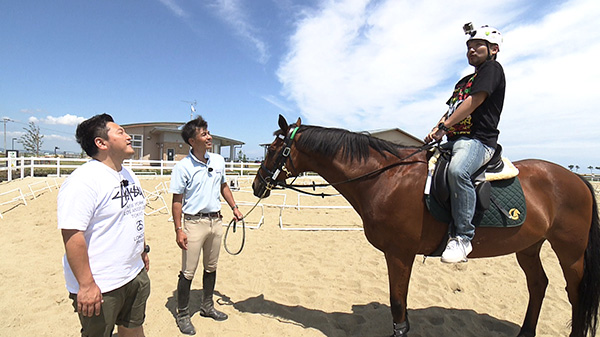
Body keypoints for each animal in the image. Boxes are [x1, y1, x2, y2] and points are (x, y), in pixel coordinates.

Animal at [252, 114, 600, 334]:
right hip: (528, 246)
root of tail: (579, 180)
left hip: (569, 252)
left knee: (575, 295)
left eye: (273, 149)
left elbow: (397, 305)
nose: (257, 185)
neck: (386, 178)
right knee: (538, 285)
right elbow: (400, 306)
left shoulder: (399, 254)